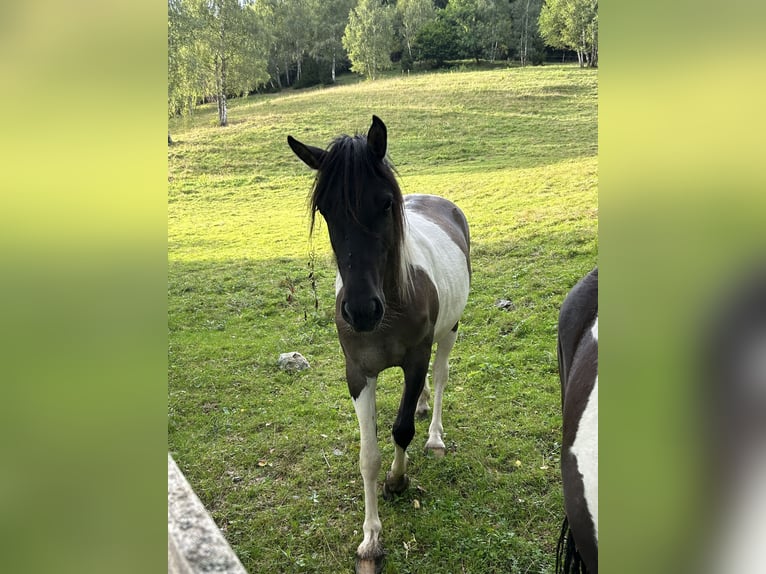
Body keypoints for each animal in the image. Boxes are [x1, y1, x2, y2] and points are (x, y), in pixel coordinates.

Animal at [286, 115, 472, 572]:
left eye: (386, 203)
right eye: (325, 209)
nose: (360, 311)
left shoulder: (416, 358)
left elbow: (401, 430)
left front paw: (398, 480)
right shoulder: (358, 374)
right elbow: (367, 456)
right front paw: (370, 538)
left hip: (450, 331)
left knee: (441, 377)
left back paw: (435, 436)